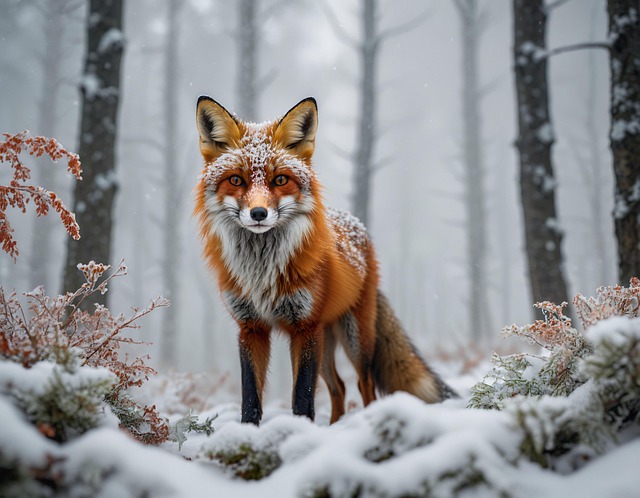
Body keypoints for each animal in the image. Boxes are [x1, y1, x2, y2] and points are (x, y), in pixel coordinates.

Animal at [194, 95, 457, 425]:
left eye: (280, 180)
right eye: (236, 180)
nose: (258, 213)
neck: (262, 273)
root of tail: (356, 224)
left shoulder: (305, 327)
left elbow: (302, 398)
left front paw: (299, 431)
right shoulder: (251, 327)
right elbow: (250, 396)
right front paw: (247, 432)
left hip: (354, 338)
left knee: (364, 384)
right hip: (326, 340)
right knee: (339, 387)